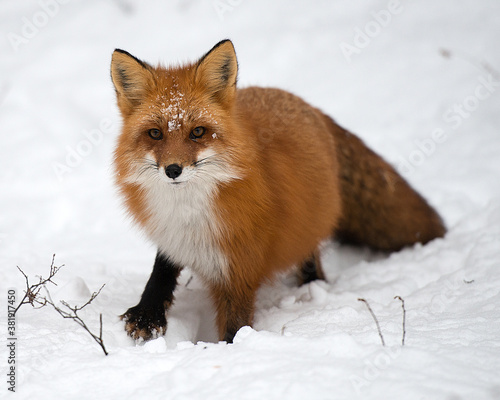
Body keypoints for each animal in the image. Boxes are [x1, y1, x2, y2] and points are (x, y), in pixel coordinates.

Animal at [110, 39, 446, 342]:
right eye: (155, 133)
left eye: (198, 132)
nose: (173, 170)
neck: (189, 214)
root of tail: (307, 104)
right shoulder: (173, 235)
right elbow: (162, 268)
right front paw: (148, 313)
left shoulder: (240, 270)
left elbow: (234, 327)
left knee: (311, 259)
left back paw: (311, 287)